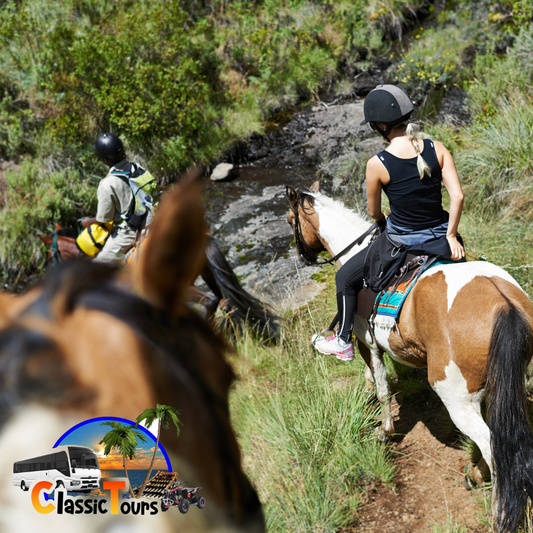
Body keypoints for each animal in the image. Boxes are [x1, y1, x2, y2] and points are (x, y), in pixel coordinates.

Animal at [288, 183, 533, 532]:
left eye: (290, 220)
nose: (301, 256)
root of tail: (504, 304)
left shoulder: (367, 342)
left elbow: (381, 388)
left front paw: (384, 431)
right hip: (506, 385)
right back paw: (476, 476)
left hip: (456, 397)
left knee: (491, 445)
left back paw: (496, 508)